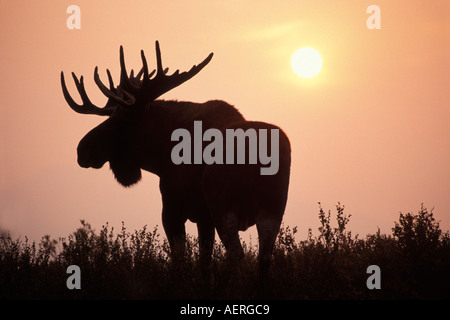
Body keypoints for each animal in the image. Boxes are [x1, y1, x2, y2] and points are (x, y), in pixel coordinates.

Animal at [59, 40, 292, 276]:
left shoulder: (175, 210)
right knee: (264, 257)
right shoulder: (202, 217)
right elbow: (204, 262)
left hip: (223, 207)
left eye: (122, 121)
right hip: (273, 208)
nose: (82, 150)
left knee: (236, 253)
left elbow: (182, 262)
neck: (161, 156)